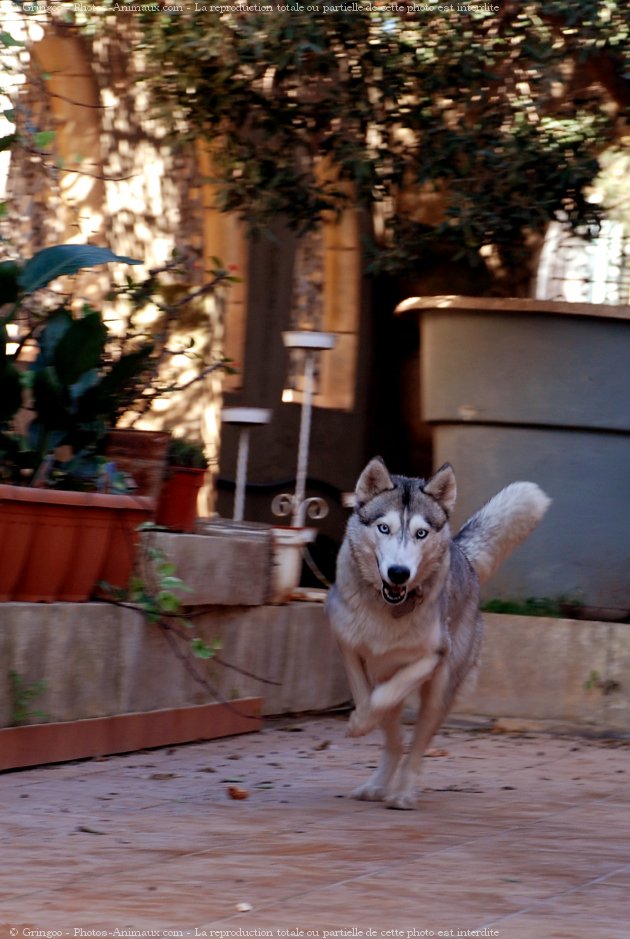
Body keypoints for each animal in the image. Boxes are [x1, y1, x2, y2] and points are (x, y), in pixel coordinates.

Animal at [328, 458, 552, 812]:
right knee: (396, 742)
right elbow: (366, 694)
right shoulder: (347, 643)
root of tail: (462, 553)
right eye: (383, 528)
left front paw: (361, 721)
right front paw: (361, 721)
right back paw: (377, 786)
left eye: (421, 533)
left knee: (416, 747)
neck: (389, 609)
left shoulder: (433, 655)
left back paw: (402, 793)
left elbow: (383, 697)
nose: (399, 573)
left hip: (440, 692)